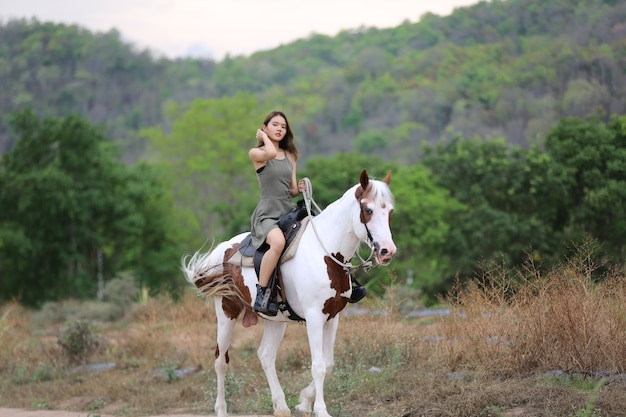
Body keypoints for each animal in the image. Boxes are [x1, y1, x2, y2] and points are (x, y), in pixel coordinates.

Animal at [180, 170, 394, 416]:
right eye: (368, 210)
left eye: (389, 210)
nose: (387, 251)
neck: (326, 253)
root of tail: (224, 248)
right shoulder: (314, 318)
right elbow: (318, 366)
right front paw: (320, 409)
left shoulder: (333, 317)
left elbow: (328, 363)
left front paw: (304, 402)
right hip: (226, 312)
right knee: (220, 361)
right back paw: (222, 409)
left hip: (275, 320)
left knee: (265, 355)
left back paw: (281, 406)